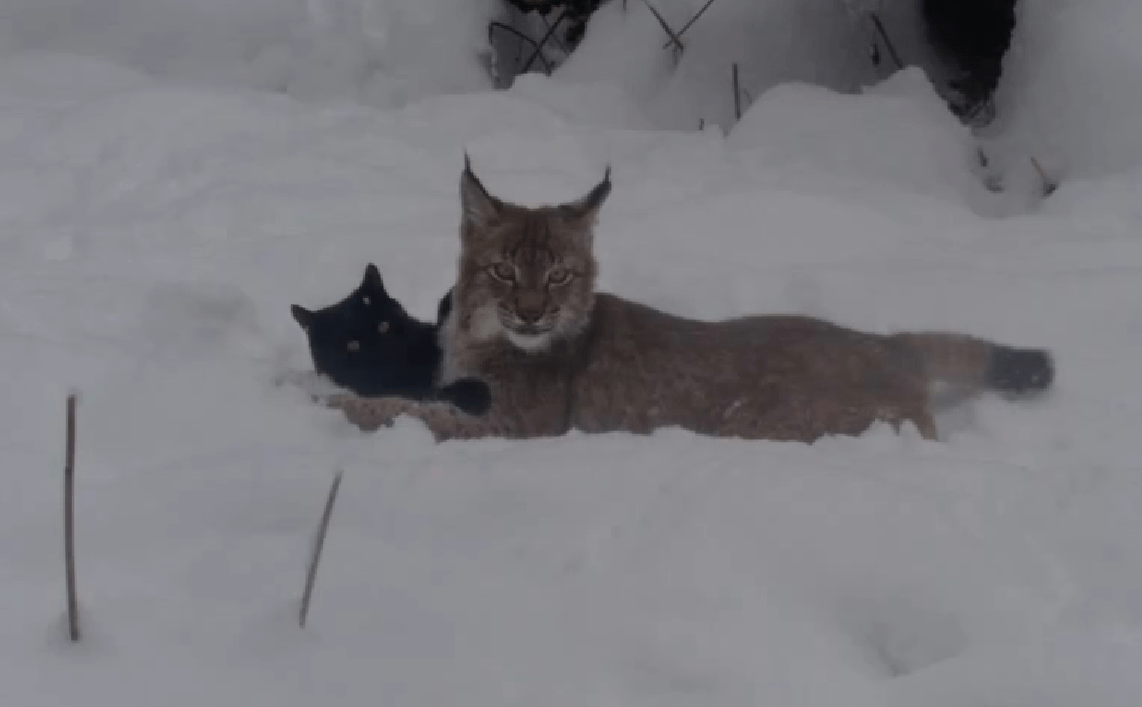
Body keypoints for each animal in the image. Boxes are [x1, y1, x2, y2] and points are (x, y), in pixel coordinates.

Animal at [287, 264, 488, 415]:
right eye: (351, 345)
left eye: (383, 326)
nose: (379, 351)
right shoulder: (400, 392)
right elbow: (436, 393)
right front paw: (475, 392)